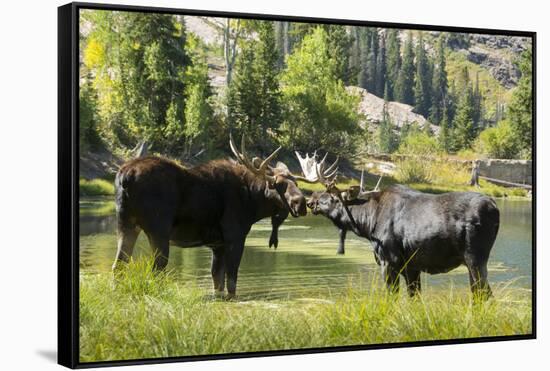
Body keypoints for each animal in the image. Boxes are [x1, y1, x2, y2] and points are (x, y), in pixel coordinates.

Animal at [112, 136, 310, 300]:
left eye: (296, 182)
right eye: (278, 184)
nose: (301, 203)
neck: (253, 203)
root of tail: (125, 176)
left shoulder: (218, 244)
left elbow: (217, 280)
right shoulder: (235, 237)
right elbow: (232, 279)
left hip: (126, 224)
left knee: (119, 265)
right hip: (158, 230)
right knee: (157, 267)